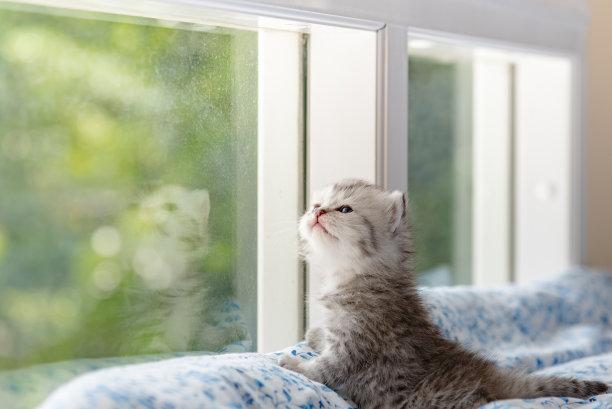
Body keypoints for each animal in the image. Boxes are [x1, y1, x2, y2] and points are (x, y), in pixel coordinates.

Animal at [279, 179, 609, 409]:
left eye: (344, 209)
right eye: (316, 204)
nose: (316, 212)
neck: (351, 274)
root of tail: (492, 376)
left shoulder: (355, 345)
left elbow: (324, 369)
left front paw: (293, 365)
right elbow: (324, 340)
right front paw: (314, 334)